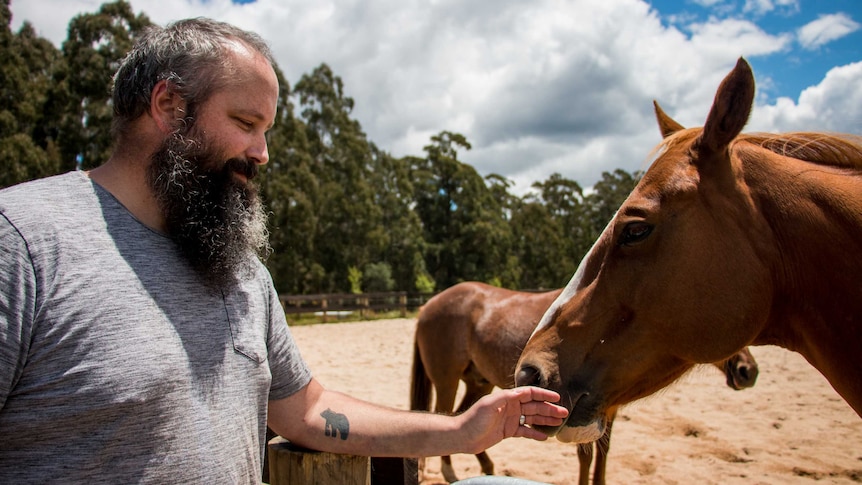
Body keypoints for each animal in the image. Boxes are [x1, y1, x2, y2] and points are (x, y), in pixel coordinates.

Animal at [416, 280, 760, 480]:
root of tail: (428, 306)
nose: (749, 371)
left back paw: (487, 468)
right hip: (447, 380)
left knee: (463, 417)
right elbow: (587, 456)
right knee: (443, 413)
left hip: (479, 383)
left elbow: (603, 456)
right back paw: (450, 471)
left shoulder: (605, 411)